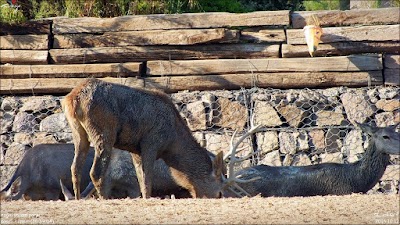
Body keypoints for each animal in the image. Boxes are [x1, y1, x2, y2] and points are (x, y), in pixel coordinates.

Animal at [62, 78, 225, 200]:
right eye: (219, 192)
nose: (221, 195)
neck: (171, 144)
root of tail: (72, 98)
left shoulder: (135, 149)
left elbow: (141, 178)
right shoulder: (151, 143)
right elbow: (147, 180)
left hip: (79, 133)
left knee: (75, 168)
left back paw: (77, 198)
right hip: (104, 133)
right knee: (95, 172)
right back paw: (103, 199)